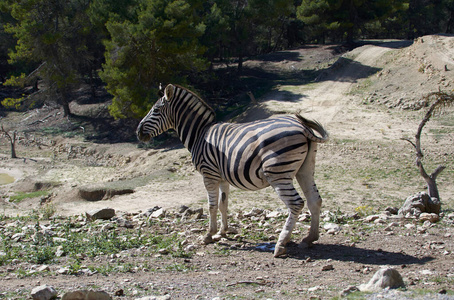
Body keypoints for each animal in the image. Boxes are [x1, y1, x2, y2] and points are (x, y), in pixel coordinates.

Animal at [137, 83, 328, 256]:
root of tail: (302, 126)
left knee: (296, 203)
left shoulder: (209, 174)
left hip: (277, 173)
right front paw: (223, 231)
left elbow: (212, 206)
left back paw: (281, 244)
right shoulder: (222, 177)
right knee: (314, 200)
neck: (199, 134)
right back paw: (310, 238)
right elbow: (224, 204)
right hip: (305, 168)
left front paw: (209, 234)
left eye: (155, 110)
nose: (138, 132)